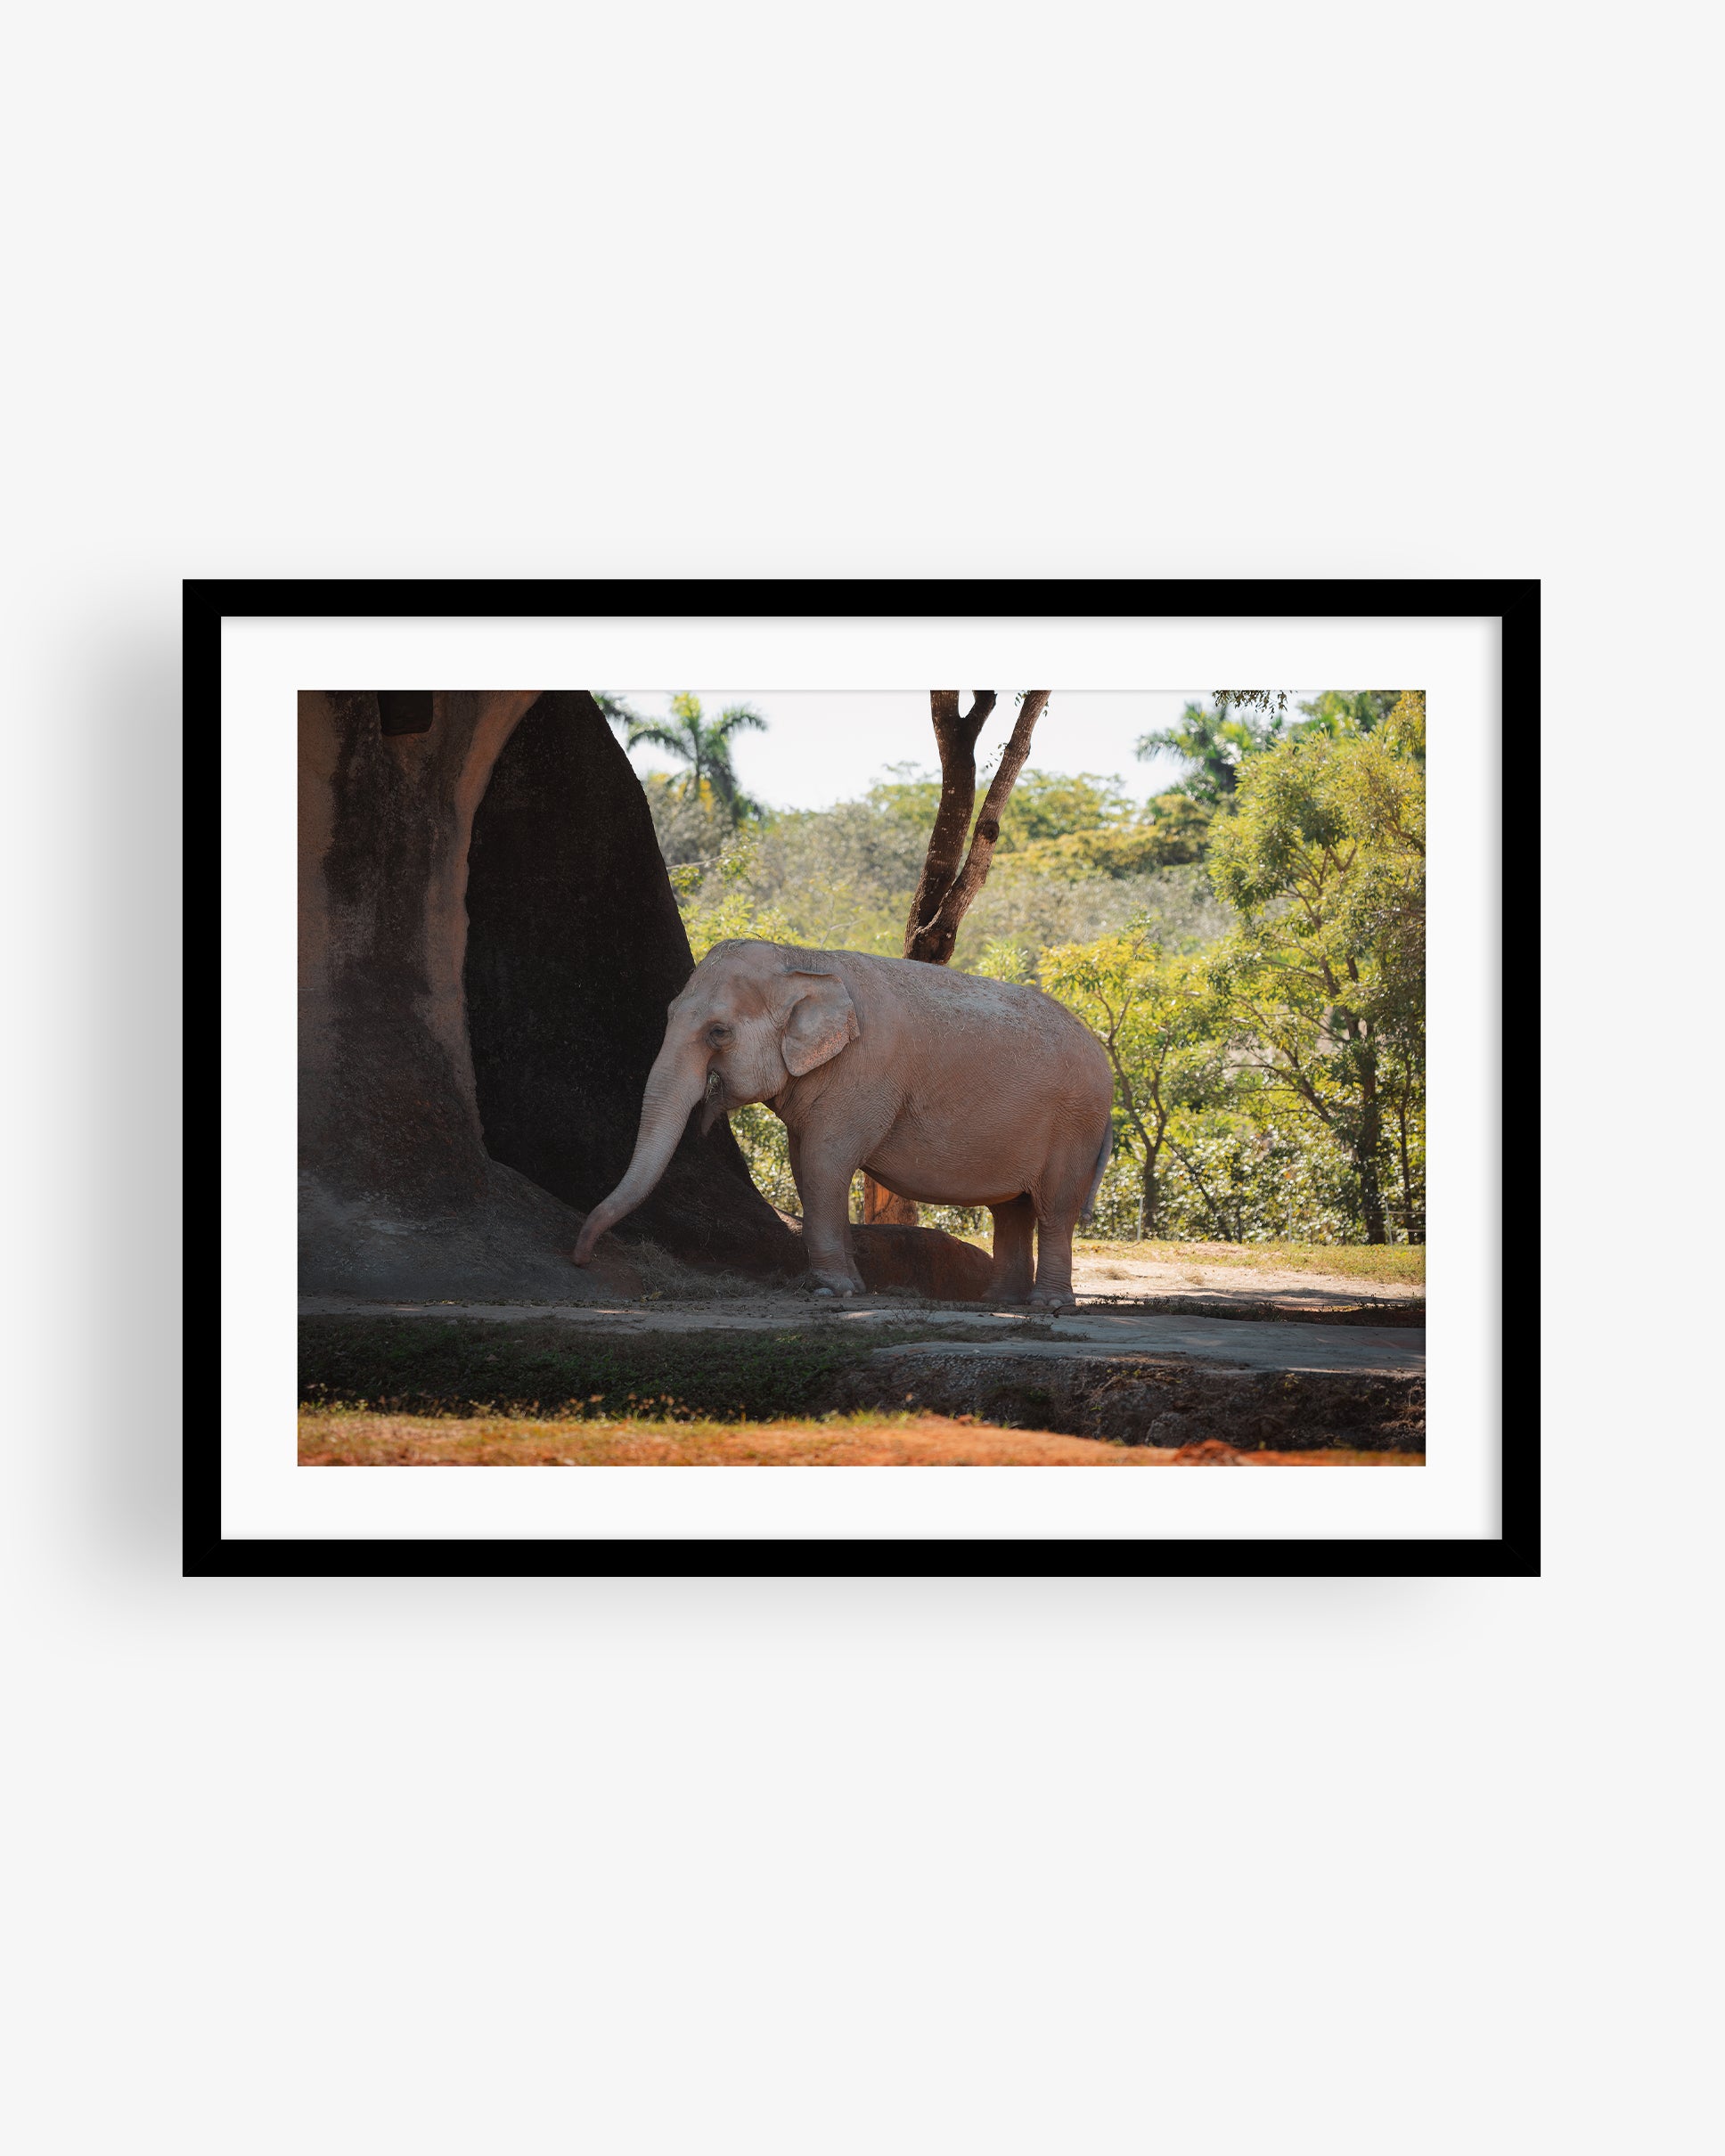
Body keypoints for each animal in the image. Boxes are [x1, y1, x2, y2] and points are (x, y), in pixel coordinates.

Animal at [573, 938, 1115, 1308]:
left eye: (718, 1032)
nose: (582, 1258)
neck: (802, 960)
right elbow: (805, 1163)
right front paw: (849, 1289)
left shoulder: (863, 1075)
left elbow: (824, 1163)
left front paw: (833, 1293)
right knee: (1012, 1209)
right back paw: (997, 1303)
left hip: (1076, 1123)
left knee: (1054, 1208)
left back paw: (1047, 1304)